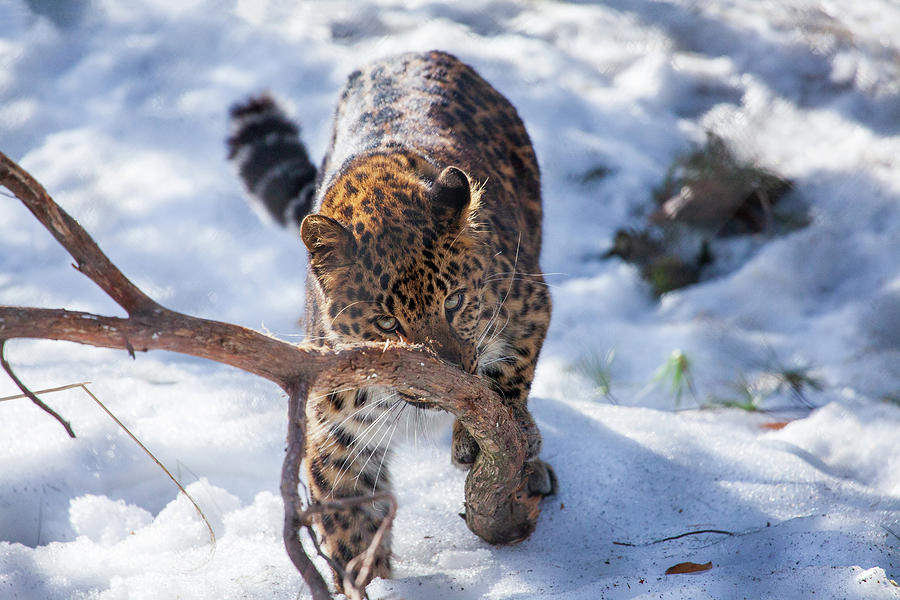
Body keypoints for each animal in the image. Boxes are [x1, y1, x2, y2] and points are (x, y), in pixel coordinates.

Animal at [229, 50, 552, 592]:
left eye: (454, 302)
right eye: (385, 325)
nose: (443, 379)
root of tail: (409, 52)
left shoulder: (530, 302)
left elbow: (509, 375)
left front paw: (481, 434)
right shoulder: (334, 426)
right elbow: (349, 521)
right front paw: (368, 582)